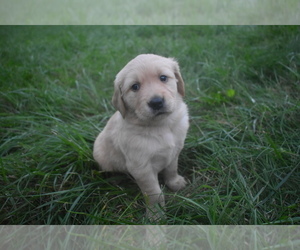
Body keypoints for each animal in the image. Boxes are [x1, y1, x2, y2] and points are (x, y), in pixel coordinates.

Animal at [92, 54, 189, 219]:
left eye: (163, 78)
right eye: (135, 87)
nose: (156, 102)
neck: (161, 125)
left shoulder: (175, 150)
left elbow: (171, 169)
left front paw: (175, 183)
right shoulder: (141, 167)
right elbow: (154, 193)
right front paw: (156, 215)